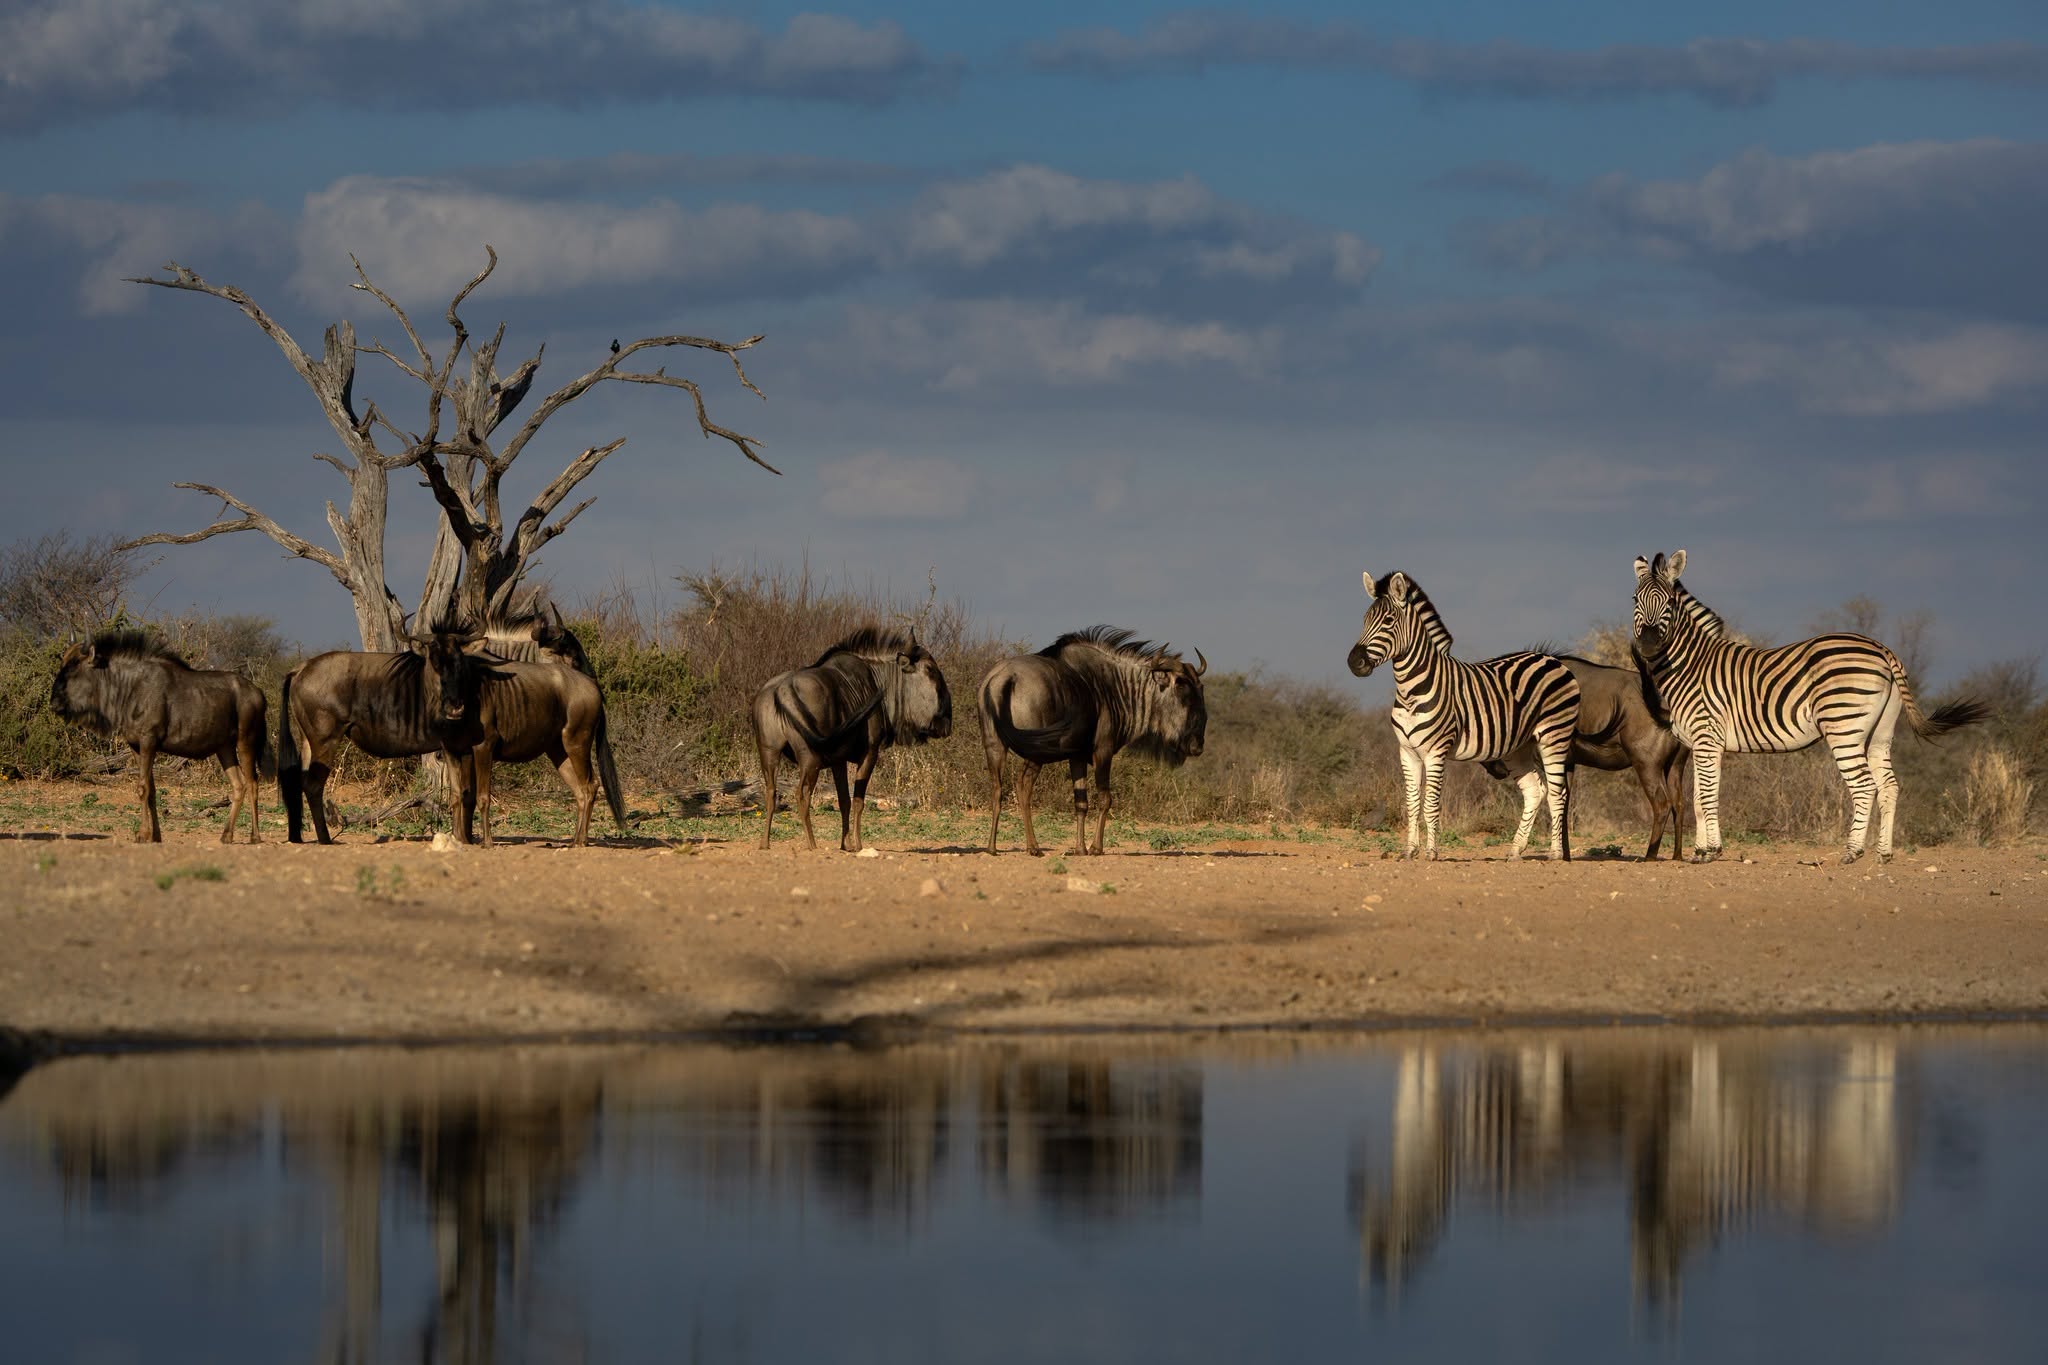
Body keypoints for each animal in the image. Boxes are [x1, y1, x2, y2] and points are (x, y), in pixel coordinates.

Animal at [1347, 571, 1581, 861]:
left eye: (1389, 621)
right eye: (1364, 620)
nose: (1353, 662)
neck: (1411, 690)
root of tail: (1551, 658)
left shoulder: (1435, 751)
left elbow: (1430, 805)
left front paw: (1431, 853)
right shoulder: (1407, 751)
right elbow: (1412, 803)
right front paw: (1409, 851)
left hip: (1555, 736)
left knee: (1558, 794)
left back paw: (1555, 854)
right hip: (1519, 747)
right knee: (1535, 791)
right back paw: (1515, 850)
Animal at [1630, 550, 1989, 864]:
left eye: (1669, 603)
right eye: (1635, 600)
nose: (1647, 644)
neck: (1690, 665)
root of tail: (1881, 648)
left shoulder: (1706, 737)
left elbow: (1705, 797)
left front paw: (1710, 851)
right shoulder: (1702, 745)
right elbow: (1699, 800)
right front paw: (1701, 852)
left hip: (1844, 726)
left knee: (1865, 786)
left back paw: (1852, 853)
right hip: (1880, 733)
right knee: (1889, 786)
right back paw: (1884, 854)